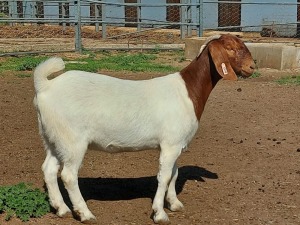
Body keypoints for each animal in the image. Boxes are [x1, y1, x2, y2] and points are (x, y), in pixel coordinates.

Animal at [34, 33, 254, 223]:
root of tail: (45, 87)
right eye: (230, 47)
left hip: (54, 138)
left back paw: (61, 208)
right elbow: (164, 177)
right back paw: (84, 213)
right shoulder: (171, 145)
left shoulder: (174, 144)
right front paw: (159, 213)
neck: (188, 91)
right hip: (73, 140)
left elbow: (174, 174)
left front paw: (174, 204)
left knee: (49, 169)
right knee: (69, 175)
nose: (252, 66)